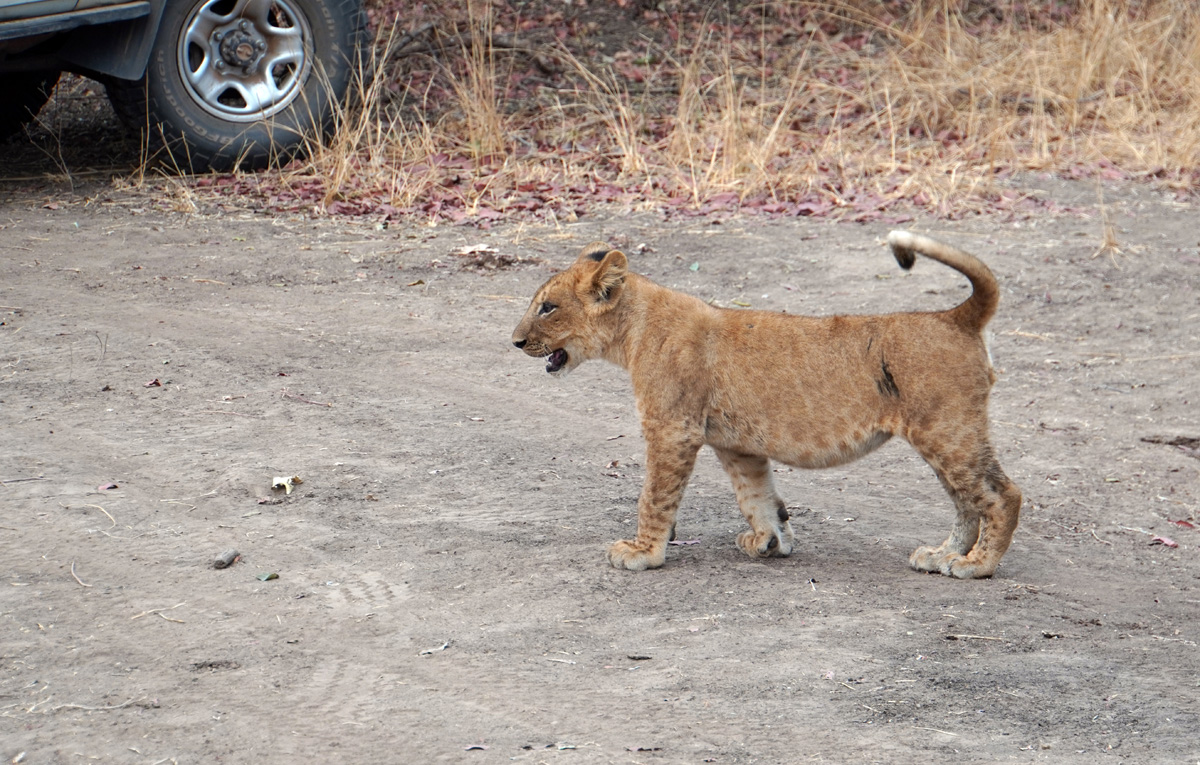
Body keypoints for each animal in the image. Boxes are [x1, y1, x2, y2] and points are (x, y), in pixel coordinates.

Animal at [511, 231, 1022, 579]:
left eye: (547, 308)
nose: (514, 342)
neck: (632, 332)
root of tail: (955, 316)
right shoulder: (736, 445)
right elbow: (757, 497)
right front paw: (771, 541)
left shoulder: (673, 429)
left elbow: (654, 497)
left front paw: (643, 553)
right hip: (941, 436)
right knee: (966, 502)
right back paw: (943, 555)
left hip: (947, 430)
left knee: (1003, 494)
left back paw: (976, 565)